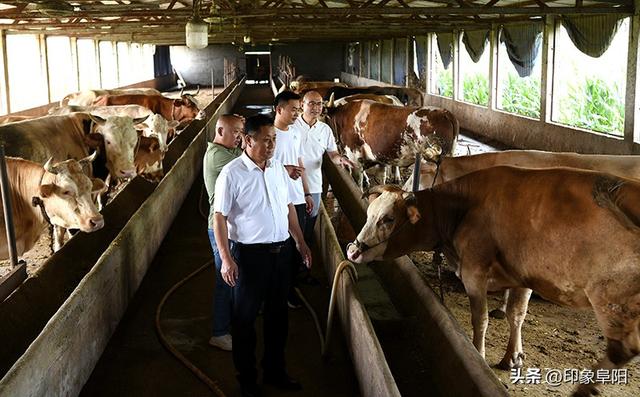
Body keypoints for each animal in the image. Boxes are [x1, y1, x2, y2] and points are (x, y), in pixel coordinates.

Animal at [348, 167, 640, 396]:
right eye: (369, 214)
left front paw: (479, 354)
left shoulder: (474, 272)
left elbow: (482, 319)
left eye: (388, 218)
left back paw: (584, 389)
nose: (353, 250)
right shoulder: (522, 277)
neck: (462, 208)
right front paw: (513, 357)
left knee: (623, 350)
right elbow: (516, 314)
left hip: (611, 299)